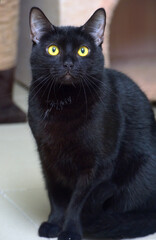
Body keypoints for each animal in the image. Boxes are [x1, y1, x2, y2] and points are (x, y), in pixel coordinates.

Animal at [28, 7, 156, 240]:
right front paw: (53, 223)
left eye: (83, 51)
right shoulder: (47, 157)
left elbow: (77, 202)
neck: (64, 103)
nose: (68, 63)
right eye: (53, 50)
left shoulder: (97, 165)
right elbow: (56, 195)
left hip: (140, 175)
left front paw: (70, 230)